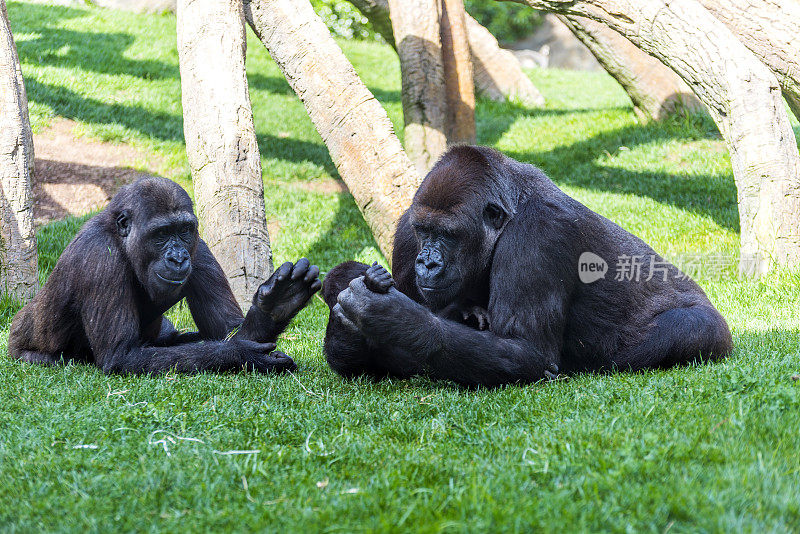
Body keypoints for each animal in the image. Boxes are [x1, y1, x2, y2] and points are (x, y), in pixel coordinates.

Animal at [9, 178, 320, 374]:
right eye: (161, 234)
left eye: (183, 230)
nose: (178, 258)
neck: (122, 241)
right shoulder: (99, 257)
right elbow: (121, 356)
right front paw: (242, 355)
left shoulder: (199, 249)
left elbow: (229, 329)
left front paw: (276, 306)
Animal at [322, 147, 736, 388]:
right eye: (425, 232)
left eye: (449, 235)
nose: (428, 261)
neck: (511, 209)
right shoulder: (407, 228)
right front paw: (348, 323)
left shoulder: (539, 234)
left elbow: (526, 352)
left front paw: (395, 319)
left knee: (688, 327)